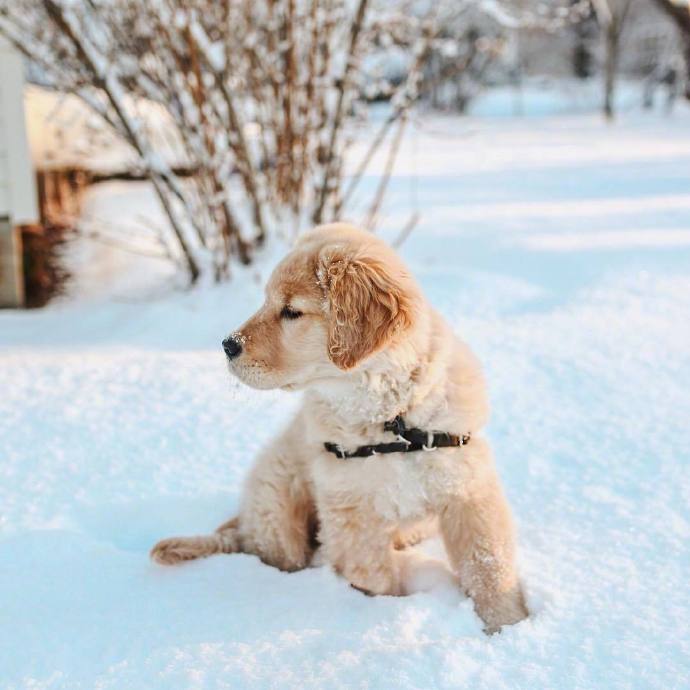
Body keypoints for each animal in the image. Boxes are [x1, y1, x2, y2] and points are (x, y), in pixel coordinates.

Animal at [150, 223, 528, 632]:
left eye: (291, 311)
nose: (227, 345)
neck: (388, 415)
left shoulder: (466, 485)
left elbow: (487, 563)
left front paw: (508, 624)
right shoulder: (349, 506)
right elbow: (372, 572)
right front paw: (384, 611)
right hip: (277, 499)